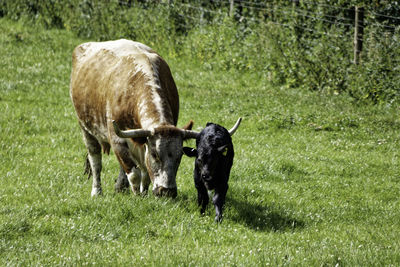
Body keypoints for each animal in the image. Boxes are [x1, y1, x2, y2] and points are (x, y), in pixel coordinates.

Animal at [71, 39, 198, 199]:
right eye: (155, 155)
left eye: (179, 155)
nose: (167, 191)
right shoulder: (117, 139)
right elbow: (134, 173)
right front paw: (137, 196)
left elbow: (145, 172)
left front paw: (143, 192)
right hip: (85, 129)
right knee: (95, 161)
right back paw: (97, 191)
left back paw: (120, 187)